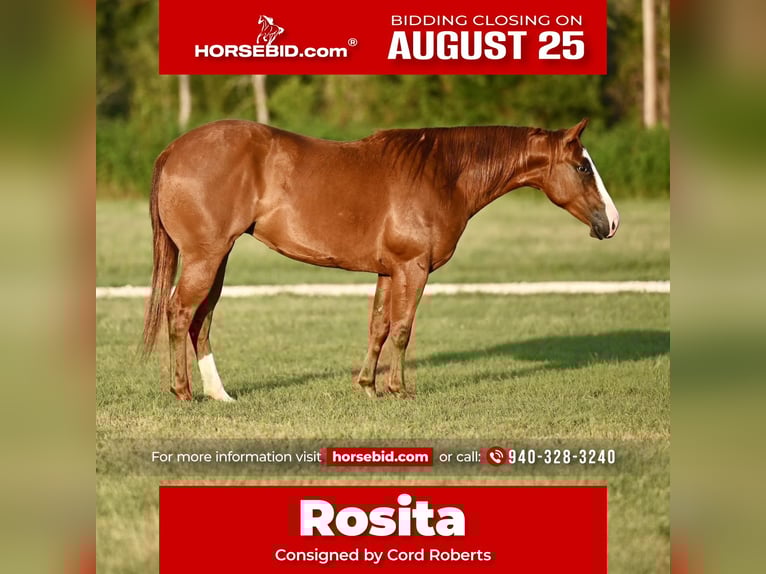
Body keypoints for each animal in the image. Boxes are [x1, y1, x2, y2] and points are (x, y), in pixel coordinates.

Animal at [142, 119, 619, 401]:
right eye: (582, 167)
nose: (611, 222)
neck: (442, 174)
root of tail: (172, 150)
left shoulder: (388, 271)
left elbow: (379, 327)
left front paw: (369, 386)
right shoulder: (413, 268)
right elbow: (404, 329)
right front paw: (399, 389)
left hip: (217, 259)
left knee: (201, 320)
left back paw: (219, 394)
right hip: (206, 257)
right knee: (180, 312)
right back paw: (183, 391)